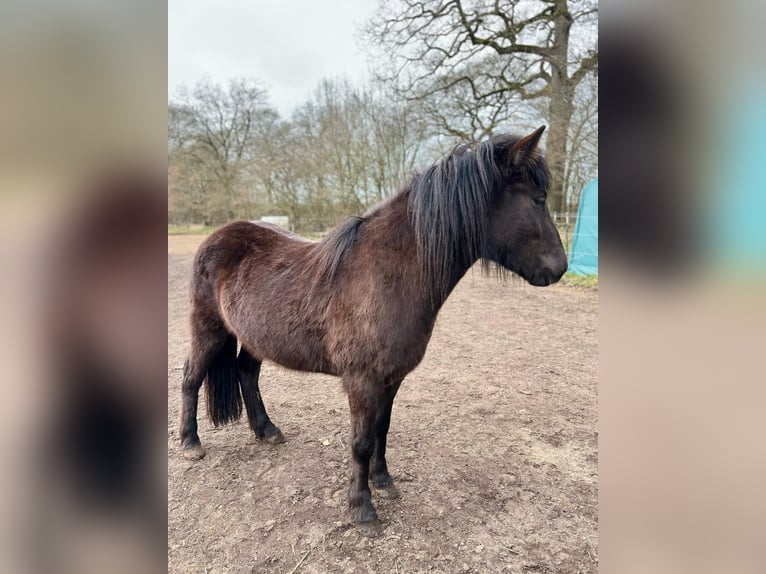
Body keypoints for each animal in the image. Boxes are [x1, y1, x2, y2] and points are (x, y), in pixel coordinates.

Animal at [178, 126, 568, 537]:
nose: (561, 267)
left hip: (255, 337)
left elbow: (383, 427)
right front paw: (362, 508)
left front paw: (383, 481)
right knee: (191, 377)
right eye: (538, 199)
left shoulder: (392, 377)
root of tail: (218, 236)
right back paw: (190, 442)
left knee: (246, 374)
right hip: (208, 329)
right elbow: (362, 441)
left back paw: (266, 430)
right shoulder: (363, 380)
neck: (388, 274)